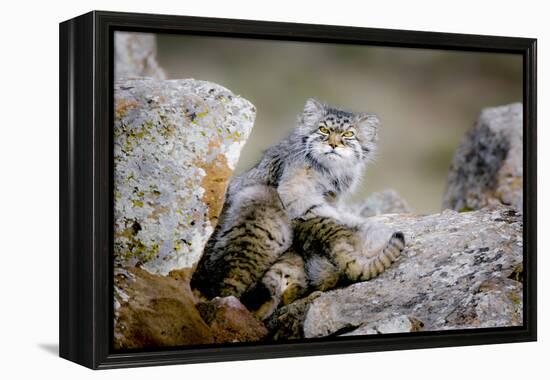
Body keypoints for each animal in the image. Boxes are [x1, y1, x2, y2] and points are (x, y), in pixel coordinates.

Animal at [192, 98, 408, 320]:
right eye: (323, 129)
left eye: (349, 134)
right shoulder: (295, 188)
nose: (333, 144)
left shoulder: (332, 197)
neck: (331, 171)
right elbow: (318, 209)